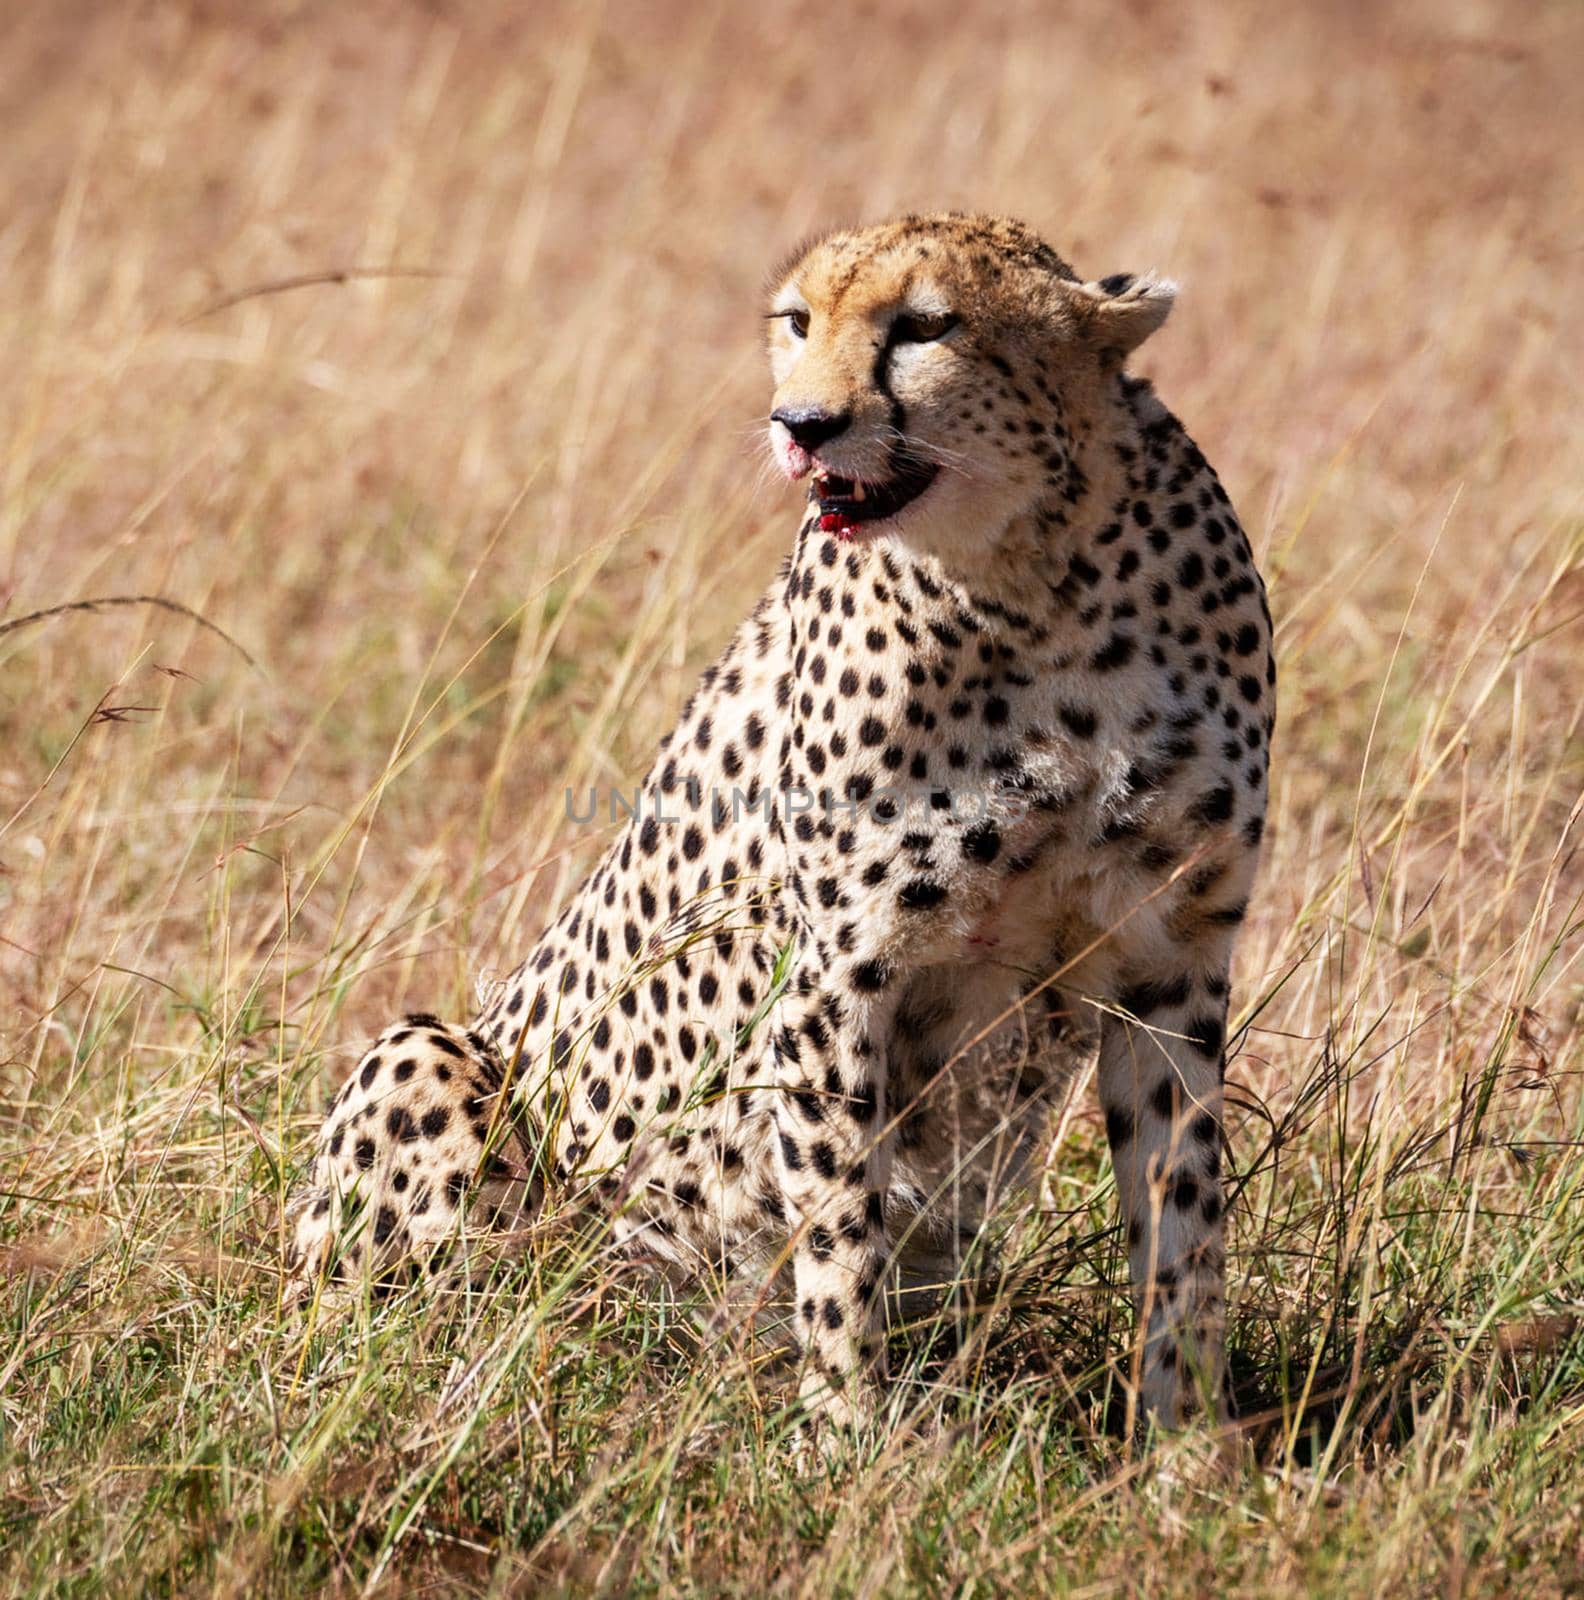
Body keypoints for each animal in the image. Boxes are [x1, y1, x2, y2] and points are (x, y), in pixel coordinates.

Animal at [288, 209, 1280, 1427]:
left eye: (927, 326)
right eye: (797, 321)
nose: (802, 426)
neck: (1039, 584)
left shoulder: (1171, 957)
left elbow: (1184, 1221)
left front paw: (1189, 1440)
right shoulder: (838, 970)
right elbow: (840, 1222)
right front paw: (850, 1433)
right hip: (434, 1068)